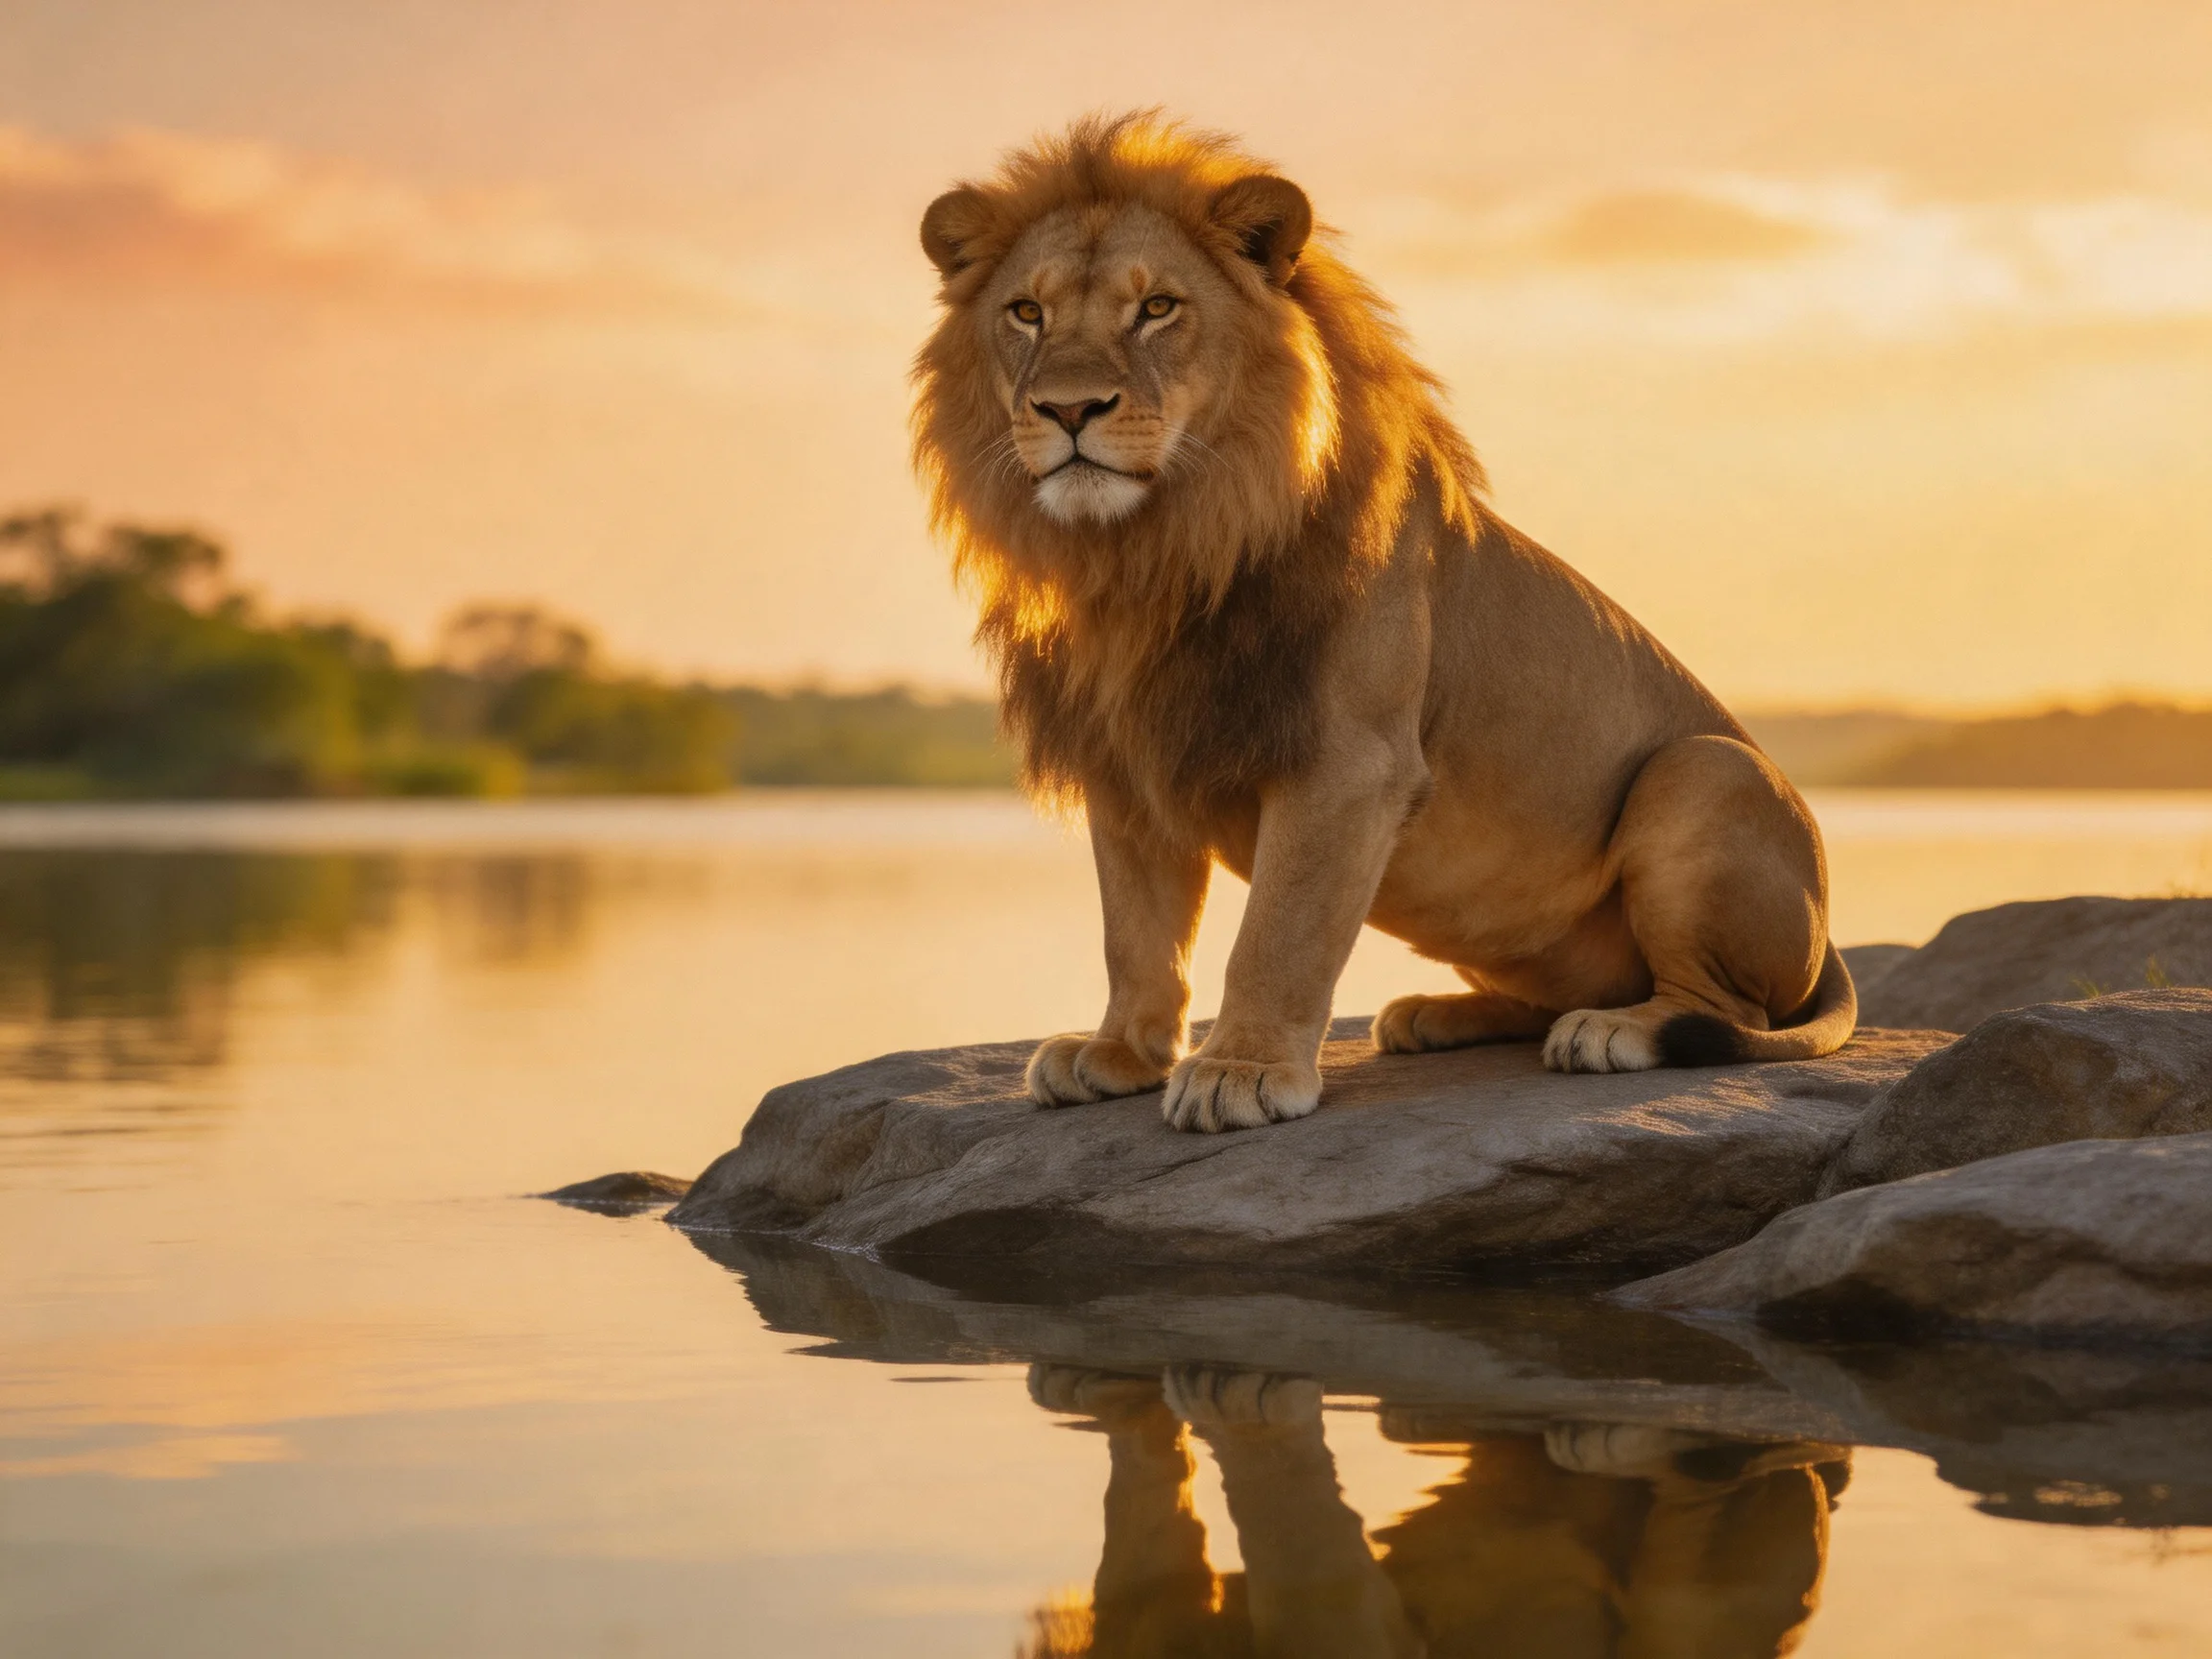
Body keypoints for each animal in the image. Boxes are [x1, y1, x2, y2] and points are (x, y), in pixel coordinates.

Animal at [913, 113, 1855, 1134]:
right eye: (1026, 313)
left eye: (1157, 307)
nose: (1068, 408)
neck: (1150, 554)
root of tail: (1831, 941)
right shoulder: (1129, 758)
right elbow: (1136, 929)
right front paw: (1119, 1050)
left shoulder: (1347, 763)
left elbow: (1277, 933)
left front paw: (1240, 1070)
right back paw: (1435, 1015)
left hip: (1704, 770)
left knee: (1718, 1008)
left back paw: (1616, 1032)